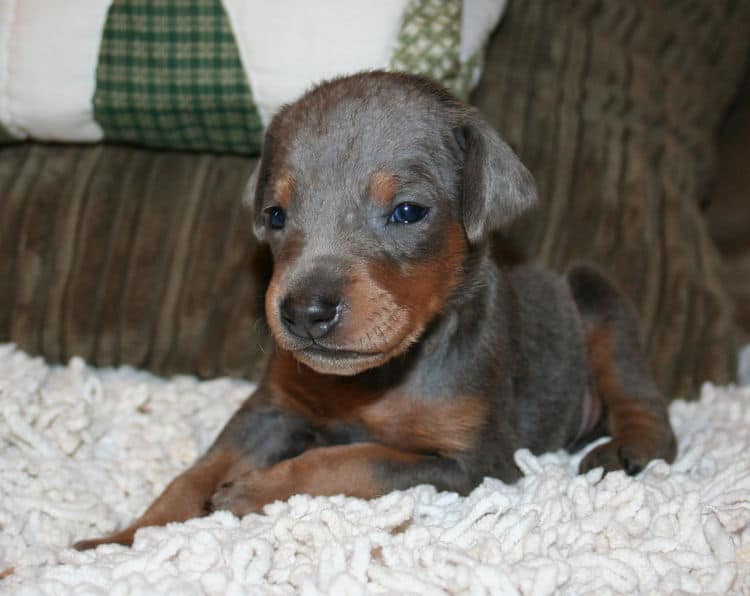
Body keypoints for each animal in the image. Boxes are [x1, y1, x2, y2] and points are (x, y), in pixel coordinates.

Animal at [75, 72, 676, 552]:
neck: (375, 380)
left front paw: (254, 489)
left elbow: (349, 459)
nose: (304, 312)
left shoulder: (471, 463)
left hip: (595, 294)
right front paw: (122, 540)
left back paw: (631, 448)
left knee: (641, 398)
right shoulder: (273, 408)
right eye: (275, 215)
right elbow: (196, 473)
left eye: (407, 211)